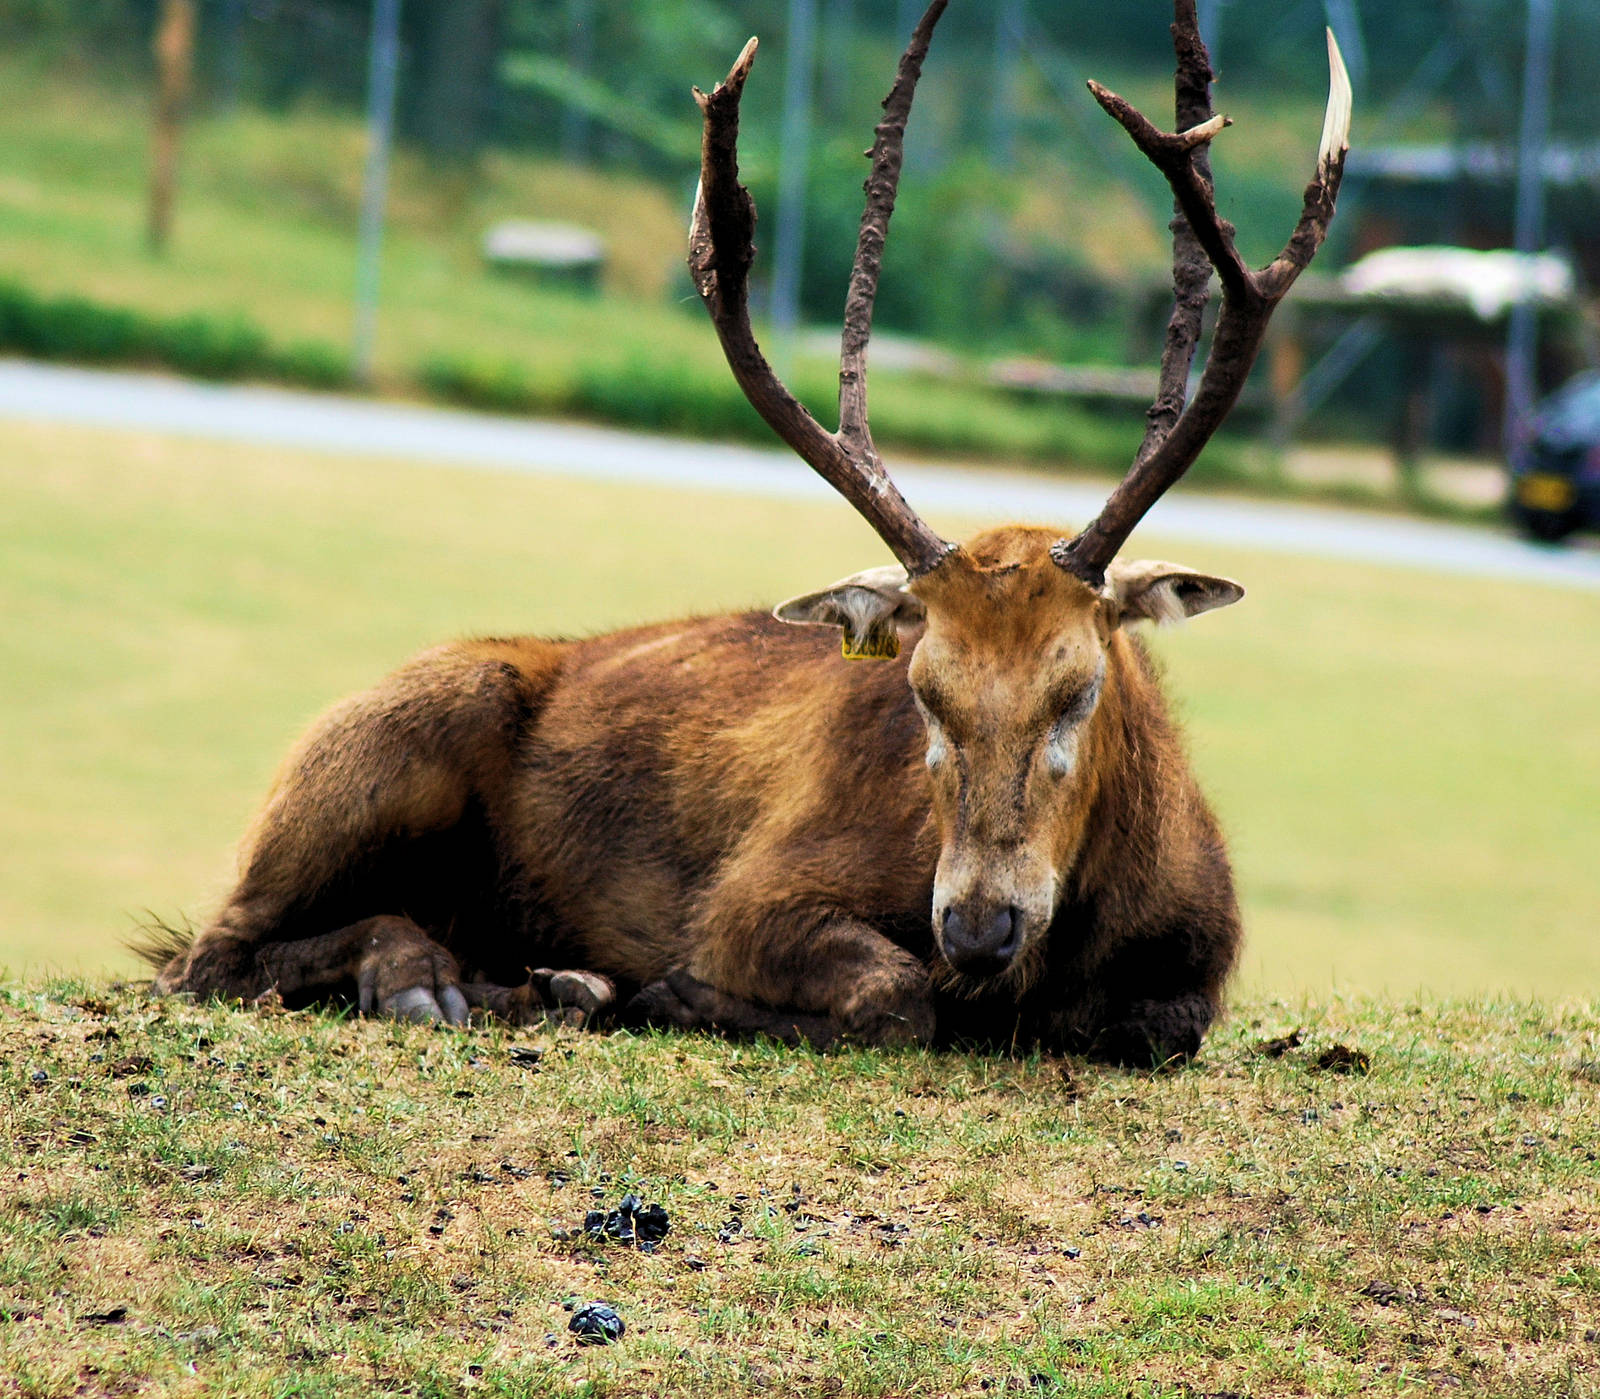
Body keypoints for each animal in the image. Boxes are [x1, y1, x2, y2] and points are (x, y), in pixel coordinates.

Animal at [146, 0, 1351, 1064]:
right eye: (923, 688)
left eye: (1081, 685)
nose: (976, 925)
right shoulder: (755, 890)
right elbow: (895, 996)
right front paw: (677, 993)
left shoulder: (1200, 959)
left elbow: (1157, 1026)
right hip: (376, 742)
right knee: (207, 952)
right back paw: (436, 978)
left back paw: (543, 983)